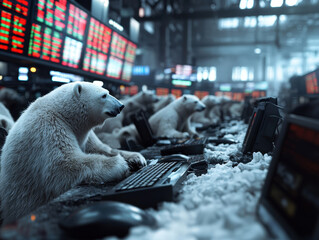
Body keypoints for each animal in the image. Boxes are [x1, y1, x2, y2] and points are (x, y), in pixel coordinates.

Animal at [0, 82, 147, 223]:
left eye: (108, 92)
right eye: (104, 95)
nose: (121, 106)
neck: (62, 113)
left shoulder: (83, 135)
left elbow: (100, 148)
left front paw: (136, 158)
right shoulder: (48, 128)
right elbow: (63, 166)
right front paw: (120, 164)